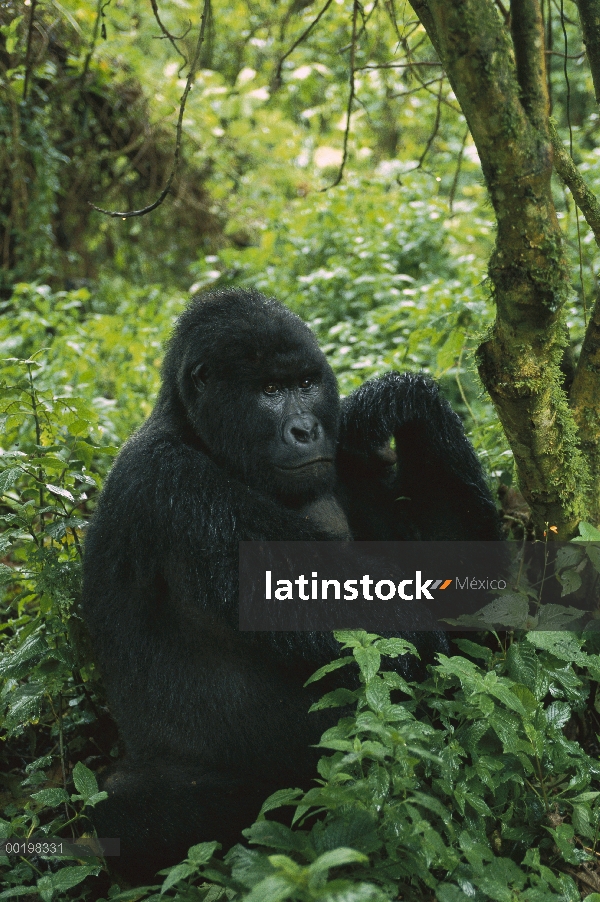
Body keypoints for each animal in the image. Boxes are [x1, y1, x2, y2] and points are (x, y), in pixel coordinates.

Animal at [82, 290, 500, 884]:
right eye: (269, 392)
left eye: (305, 383)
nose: (305, 430)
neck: (199, 435)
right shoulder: (174, 485)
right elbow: (393, 634)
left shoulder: (349, 459)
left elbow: (464, 585)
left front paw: (398, 397)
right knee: (125, 814)